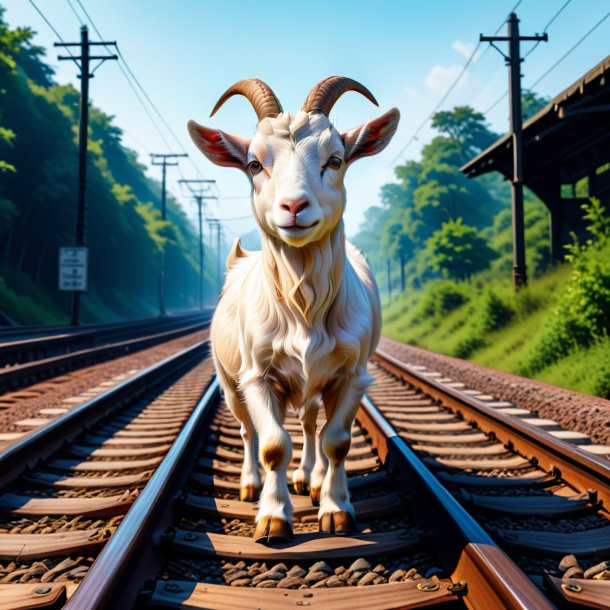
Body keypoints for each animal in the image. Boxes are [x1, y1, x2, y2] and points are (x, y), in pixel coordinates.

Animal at [189, 77, 400, 540]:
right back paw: (251, 485)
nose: (294, 207)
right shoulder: (257, 375)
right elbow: (272, 445)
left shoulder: (352, 375)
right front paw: (272, 518)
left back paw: (310, 479)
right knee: (247, 429)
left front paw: (335, 509)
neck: (303, 307)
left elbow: (336, 441)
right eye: (254, 164)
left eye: (335, 159)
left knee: (308, 422)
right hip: (229, 380)